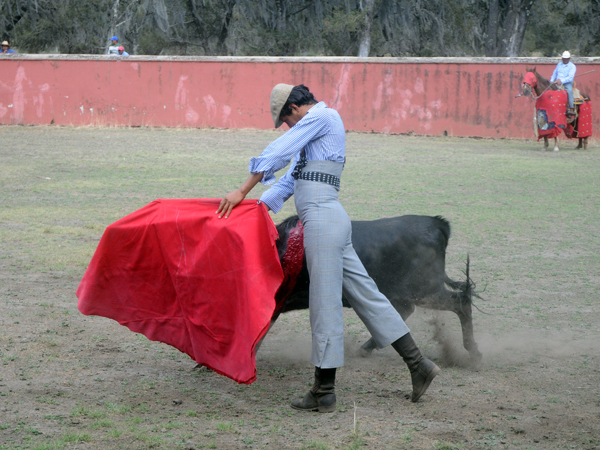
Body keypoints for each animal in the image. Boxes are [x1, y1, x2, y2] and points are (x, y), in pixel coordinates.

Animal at [272, 213, 482, 364]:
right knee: (405, 311)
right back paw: (365, 348)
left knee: (460, 301)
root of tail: (437, 224)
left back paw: (473, 351)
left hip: (426, 290)